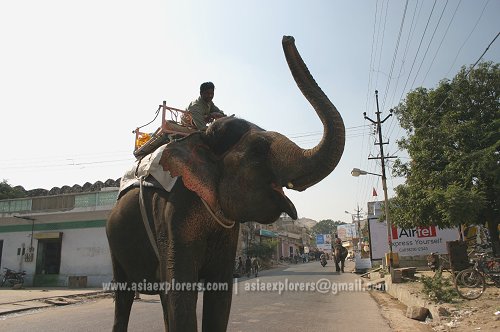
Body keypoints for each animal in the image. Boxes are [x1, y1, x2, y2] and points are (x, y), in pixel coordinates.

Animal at [106, 35, 344, 330]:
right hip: (113, 239)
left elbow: (221, 291)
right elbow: (181, 288)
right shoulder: (172, 212)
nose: (287, 38)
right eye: (258, 150)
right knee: (124, 295)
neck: (201, 139)